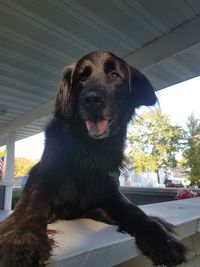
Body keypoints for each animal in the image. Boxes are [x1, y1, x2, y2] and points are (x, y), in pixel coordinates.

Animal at [0, 51, 186, 266]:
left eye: (115, 75)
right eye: (82, 78)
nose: (92, 99)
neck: (90, 150)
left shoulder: (109, 190)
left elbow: (135, 211)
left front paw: (161, 237)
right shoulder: (42, 179)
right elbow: (32, 208)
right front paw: (23, 246)